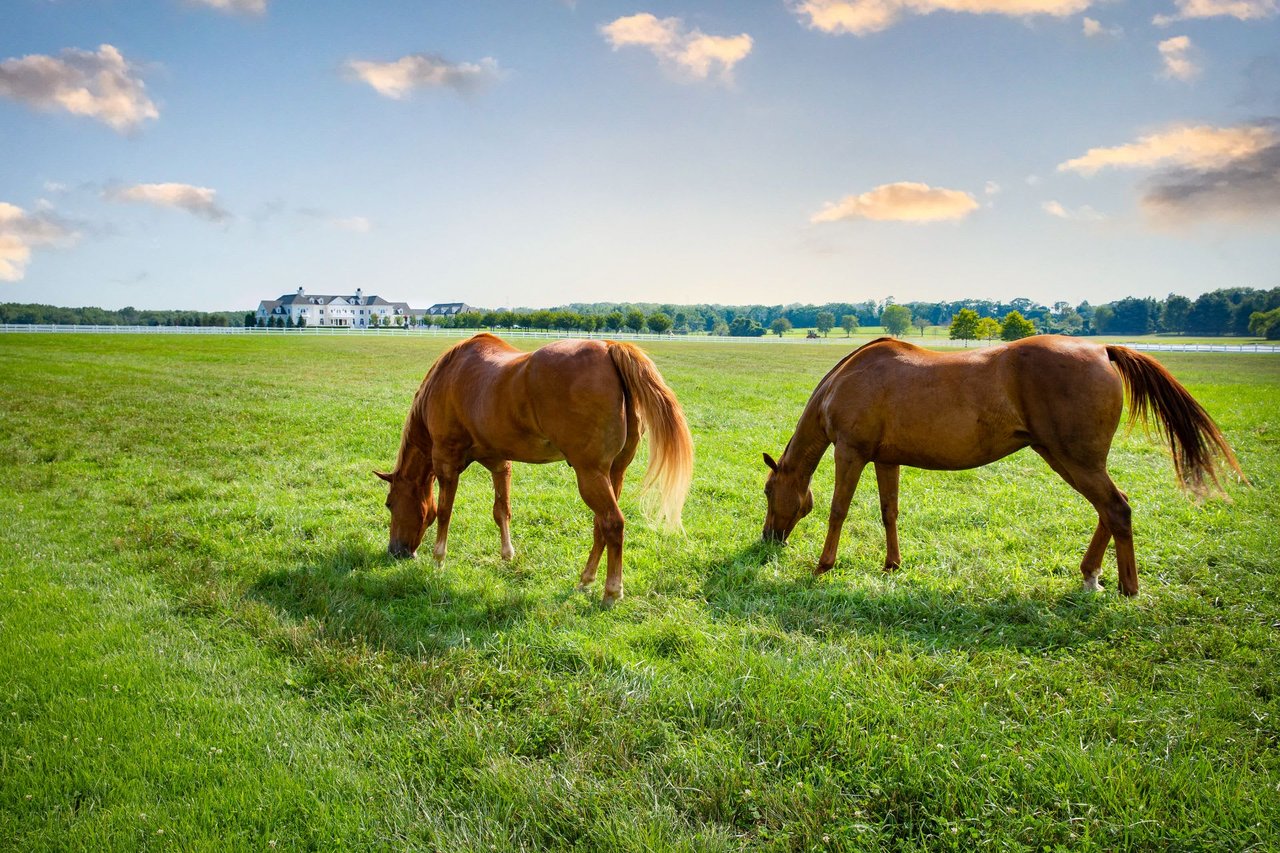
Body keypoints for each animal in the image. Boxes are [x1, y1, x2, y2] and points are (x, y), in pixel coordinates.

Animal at [376, 327, 696, 601]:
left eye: (390, 504)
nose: (396, 552)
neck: (450, 376)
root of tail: (609, 349)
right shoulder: (499, 463)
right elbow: (501, 510)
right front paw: (507, 555)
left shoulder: (446, 463)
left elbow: (444, 512)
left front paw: (438, 559)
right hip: (613, 473)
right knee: (601, 526)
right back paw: (585, 580)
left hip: (590, 475)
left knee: (613, 524)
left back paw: (611, 591)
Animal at [762, 333, 1244, 591]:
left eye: (768, 491)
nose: (768, 539)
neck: (844, 381)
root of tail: (1101, 350)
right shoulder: (886, 459)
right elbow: (889, 512)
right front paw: (892, 565)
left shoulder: (851, 452)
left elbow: (838, 511)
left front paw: (823, 566)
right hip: (1067, 459)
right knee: (1109, 509)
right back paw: (1091, 574)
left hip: (1074, 460)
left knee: (1117, 508)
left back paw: (1127, 589)